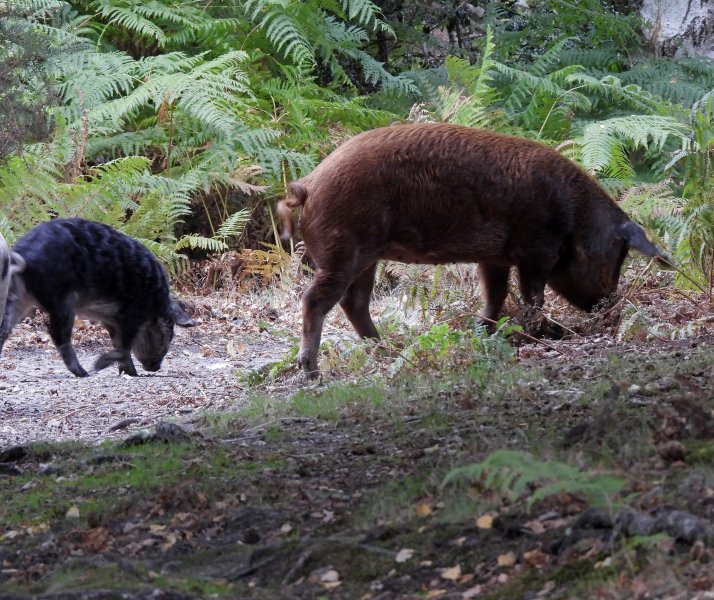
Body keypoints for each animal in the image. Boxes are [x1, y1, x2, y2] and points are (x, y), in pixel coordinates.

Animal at [0, 218, 194, 377]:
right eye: (167, 334)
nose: (156, 368)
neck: (154, 303)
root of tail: (24, 255)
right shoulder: (131, 314)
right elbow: (123, 346)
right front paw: (101, 366)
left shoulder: (111, 319)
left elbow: (119, 344)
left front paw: (128, 373)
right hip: (61, 300)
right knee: (58, 334)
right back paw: (84, 373)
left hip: (17, 294)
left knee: (4, 329)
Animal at [277, 123, 669, 378]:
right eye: (617, 257)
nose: (613, 313)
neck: (574, 219)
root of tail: (308, 184)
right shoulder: (537, 248)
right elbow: (532, 295)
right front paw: (546, 332)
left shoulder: (494, 256)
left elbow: (495, 293)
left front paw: (483, 330)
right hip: (344, 251)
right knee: (316, 300)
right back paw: (312, 371)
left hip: (366, 257)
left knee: (354, 302)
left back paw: (386, 349)